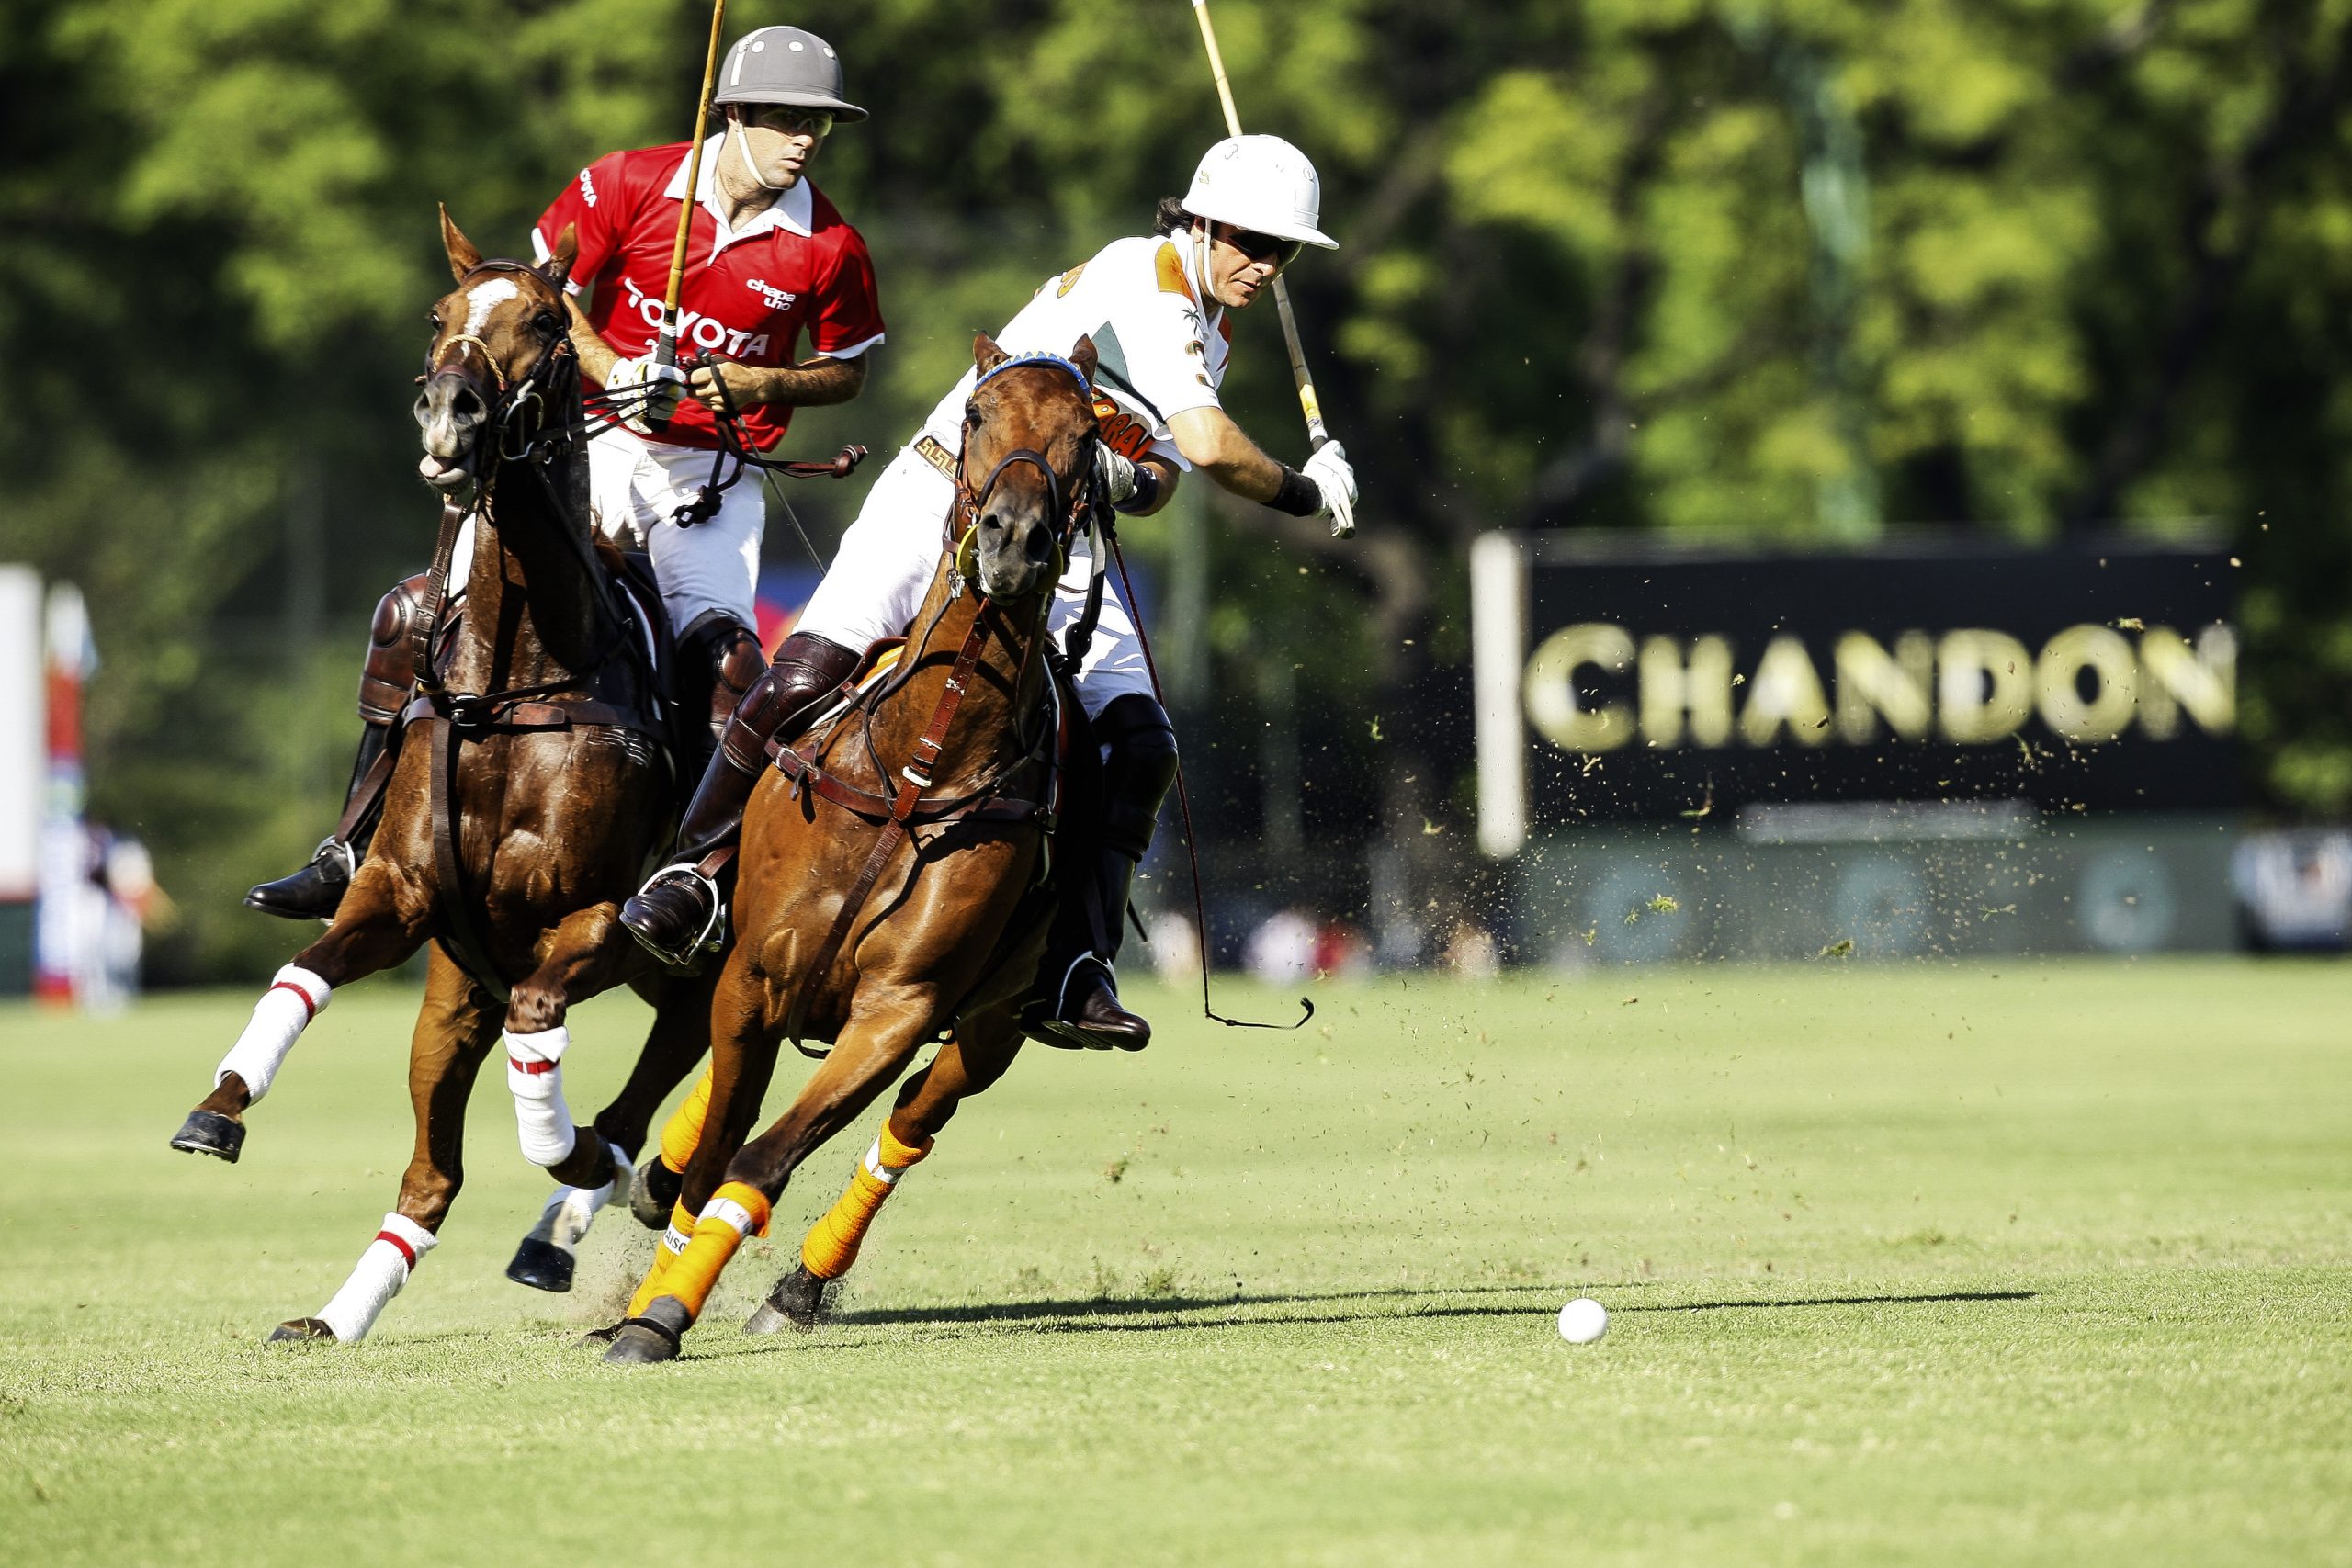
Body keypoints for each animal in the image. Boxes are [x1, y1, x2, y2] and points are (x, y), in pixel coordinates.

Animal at [171, 211, 710, 1354]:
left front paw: (577, 1160)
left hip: (678, 961)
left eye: (547, 321)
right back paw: (339, 1315)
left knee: (647, 1083)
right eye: (439, 314)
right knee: (432, 1173)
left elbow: (547, 1042)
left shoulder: (591, 918)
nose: (450, 414)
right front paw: (218, 1110)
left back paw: (575, 1210)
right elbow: (307, 966)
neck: (512, 680)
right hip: (456, 994)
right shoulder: (405, 896)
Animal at [588, 341, 1101, 1363]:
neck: (920, 765)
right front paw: (650, 1295)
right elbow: (717, 1150)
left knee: (911, 1126)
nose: (1015, 543)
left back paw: (796, 1287)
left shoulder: (898, 1009)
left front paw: (663, 1315)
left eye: (1089, 435)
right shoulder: (751, 973)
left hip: (993, 1024)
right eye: (978, 415)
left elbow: (760, 1161)